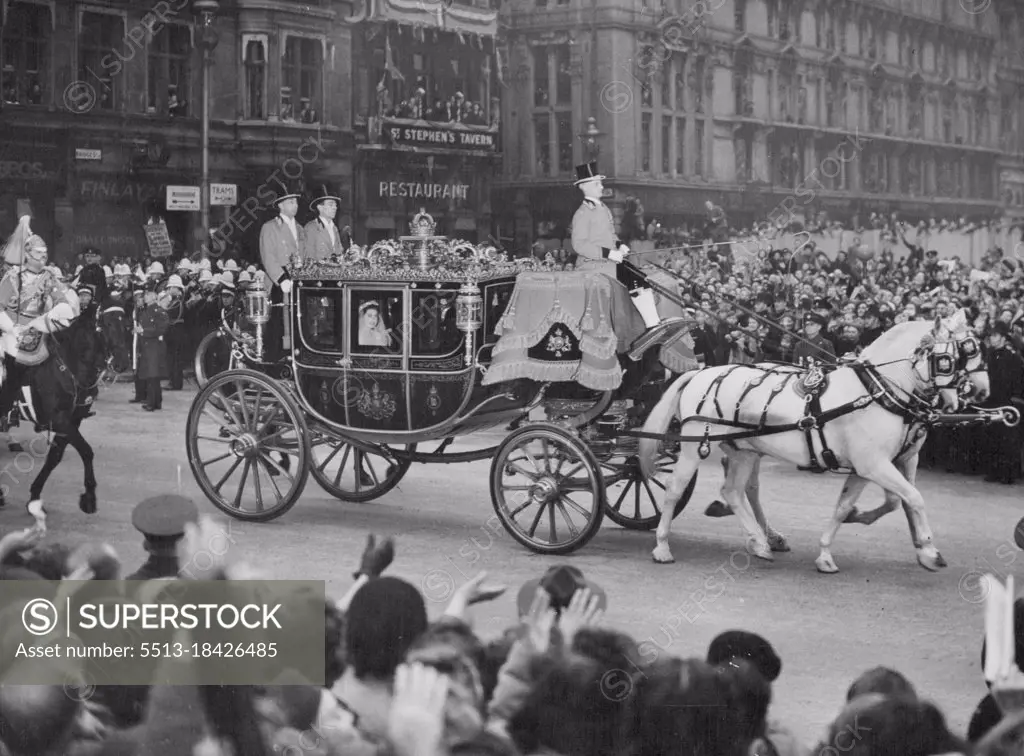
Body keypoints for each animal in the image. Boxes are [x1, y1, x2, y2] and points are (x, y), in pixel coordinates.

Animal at [0, 307, 114, 512]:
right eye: (106, 324)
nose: (122, 364)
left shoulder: (72, 421)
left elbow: (55, 457)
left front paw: (34, 497)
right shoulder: (60, 420)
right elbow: (86, 451)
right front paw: (89, 497)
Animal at [634, 313, 978, 569]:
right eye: (947, 359)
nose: (959, 399)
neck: (874, 392)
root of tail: (701, 373)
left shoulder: (873, 465)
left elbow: (858, 505)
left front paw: (829, 550)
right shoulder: (875, 465)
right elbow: (914, 498)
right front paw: (930, 549)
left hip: (745, 450)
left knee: (734, 491)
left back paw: (760, 541)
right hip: (694, 447)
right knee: (675, 489)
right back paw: (662, 546)